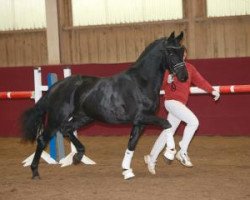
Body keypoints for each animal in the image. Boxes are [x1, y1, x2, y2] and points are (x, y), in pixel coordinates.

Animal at [22, 31, 188, 180]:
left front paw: (127, 171)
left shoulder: (139, 122)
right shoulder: (142, 117)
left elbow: (132, 144)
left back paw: (78, 156)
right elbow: (166, 124)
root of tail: (56, 86)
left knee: (66, 129)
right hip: (56, 118)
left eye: (182, 51)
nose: (184, 77)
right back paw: (35, 172)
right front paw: (170, 154)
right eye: (170, 52)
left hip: (84, 118)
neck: (141, 82)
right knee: (43, 139)